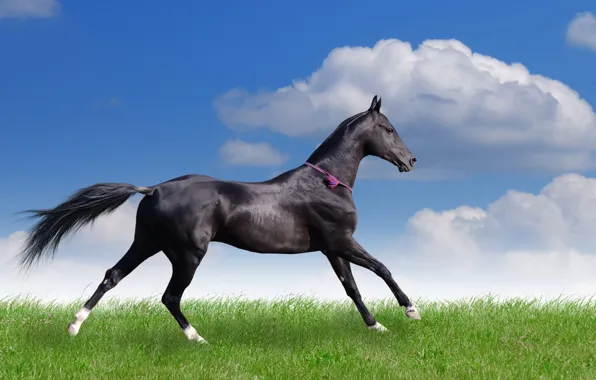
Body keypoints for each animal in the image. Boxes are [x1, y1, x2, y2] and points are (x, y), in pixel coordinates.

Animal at [17, 95, 420, 344]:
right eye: (388, 129)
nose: (411, 160)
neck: (327, 183)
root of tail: (153, 189)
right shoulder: (341, 241)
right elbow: (382, 268)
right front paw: (411, 311)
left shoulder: (331, 248)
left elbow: (352, 288)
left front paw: (377, 326)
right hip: (187, 254)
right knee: (169, 296)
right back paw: (198, 338)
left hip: (146, 244)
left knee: (112, 276)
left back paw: (73, 326)